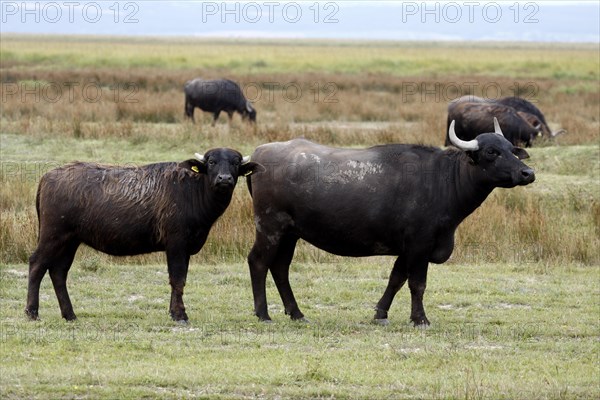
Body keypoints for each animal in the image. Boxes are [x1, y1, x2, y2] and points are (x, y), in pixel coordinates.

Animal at [26, 149, 262, 322]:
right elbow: (177, 278)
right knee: (37, 264)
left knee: (58, 272)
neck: (192, 190)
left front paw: (173, 311)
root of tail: (48, 177)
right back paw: (32, 312)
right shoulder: (176, 243)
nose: (225, 179)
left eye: (235, 163)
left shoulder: (185, 248)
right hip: (53, 235)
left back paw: (69, 314)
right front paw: (180, 315)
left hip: (70, 240)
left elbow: (180, 279)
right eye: (212, 162)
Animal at [246, 118, 536, 324]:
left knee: (280, 267)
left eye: (512, 150)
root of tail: (258, 154)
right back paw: (263, 314)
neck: (443, 180)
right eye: (491, 151)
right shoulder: (420, 245)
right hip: (269, 227)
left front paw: (380, 313)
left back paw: (297, 313)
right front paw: (420, 318)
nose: (528, 173)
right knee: (258, 262)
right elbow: (417, 284)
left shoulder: (407, 249)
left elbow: (396, 279)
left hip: (290, 233)